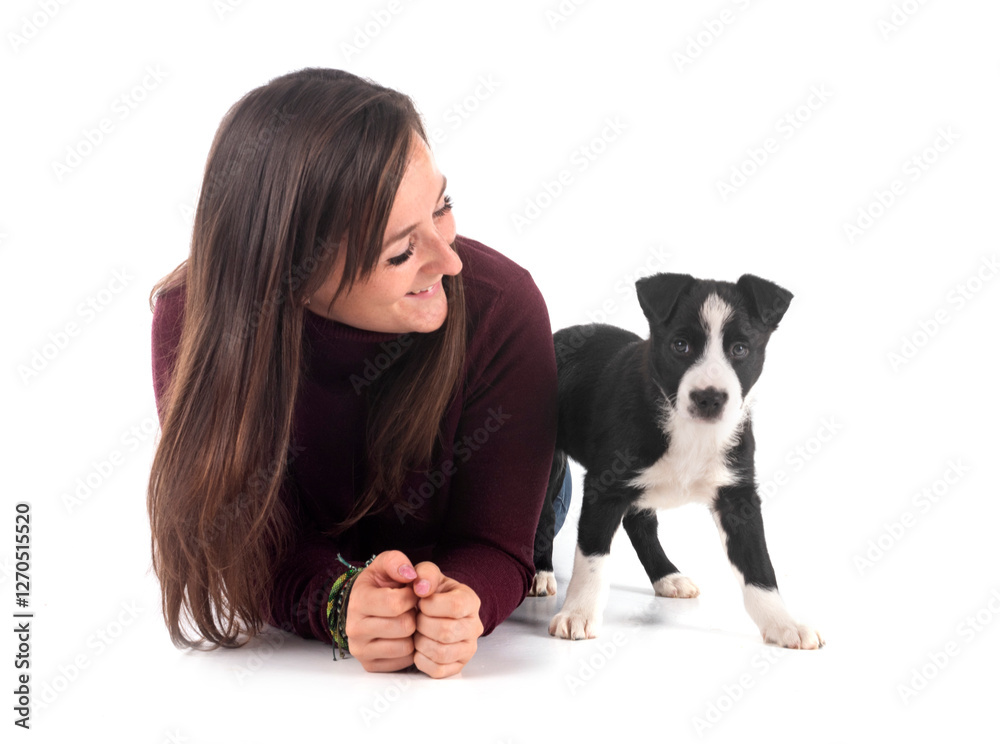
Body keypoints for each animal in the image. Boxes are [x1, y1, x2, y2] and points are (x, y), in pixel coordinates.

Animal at [532, 274, 820, 652]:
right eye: (680, 346)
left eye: (740, 349)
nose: (709, 398)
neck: (690, 430)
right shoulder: (605, 486)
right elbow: (592, 558)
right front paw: (578, 613)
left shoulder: (737, 494)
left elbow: (758, 564)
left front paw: (783, 623)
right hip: (548, 460)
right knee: (546, 515)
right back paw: (541, 573)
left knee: (639, 523)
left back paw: (667, 576)